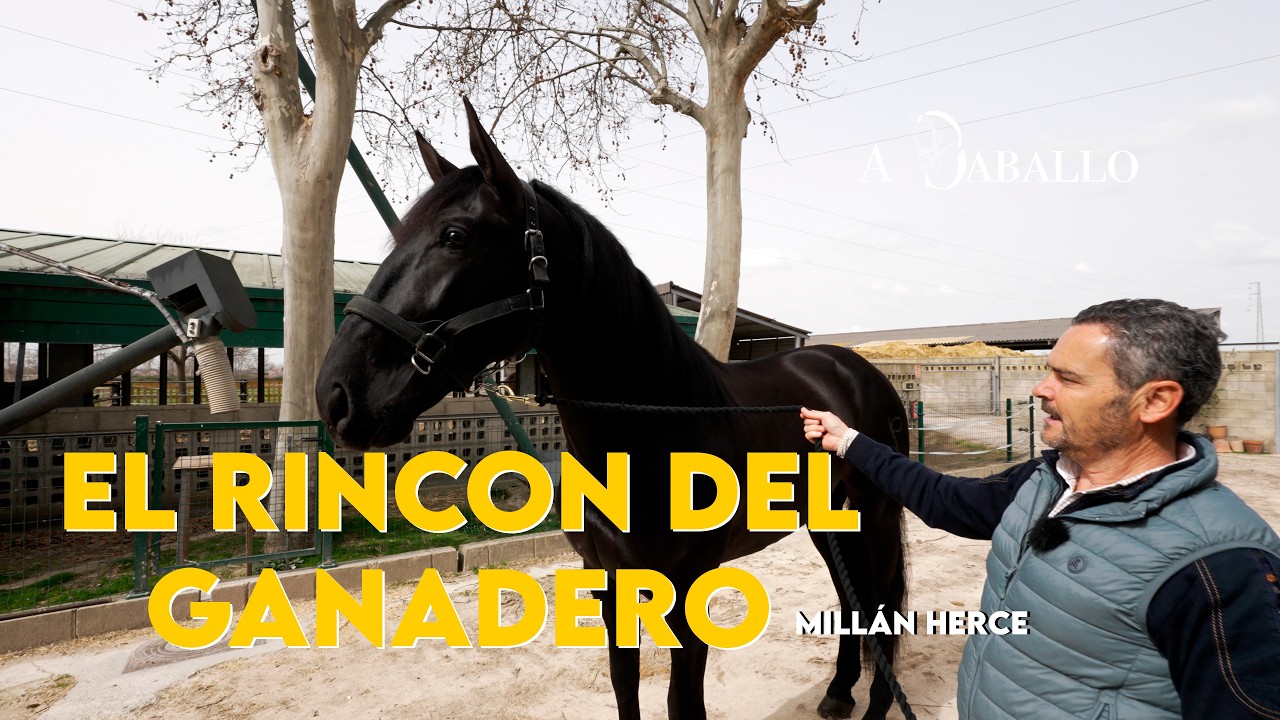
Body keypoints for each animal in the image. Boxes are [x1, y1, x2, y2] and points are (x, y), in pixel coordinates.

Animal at [315, 100, 909, 720]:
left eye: (454, 236)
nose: (335, 393)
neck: (651, 432)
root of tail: (855, 369)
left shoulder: (687, 588)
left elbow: (681, 702)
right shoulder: (608, 579)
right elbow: (624, 684)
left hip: (878, 515)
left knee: (883, 605)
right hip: (830, 520)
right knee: (851, 598)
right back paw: (839, 690)